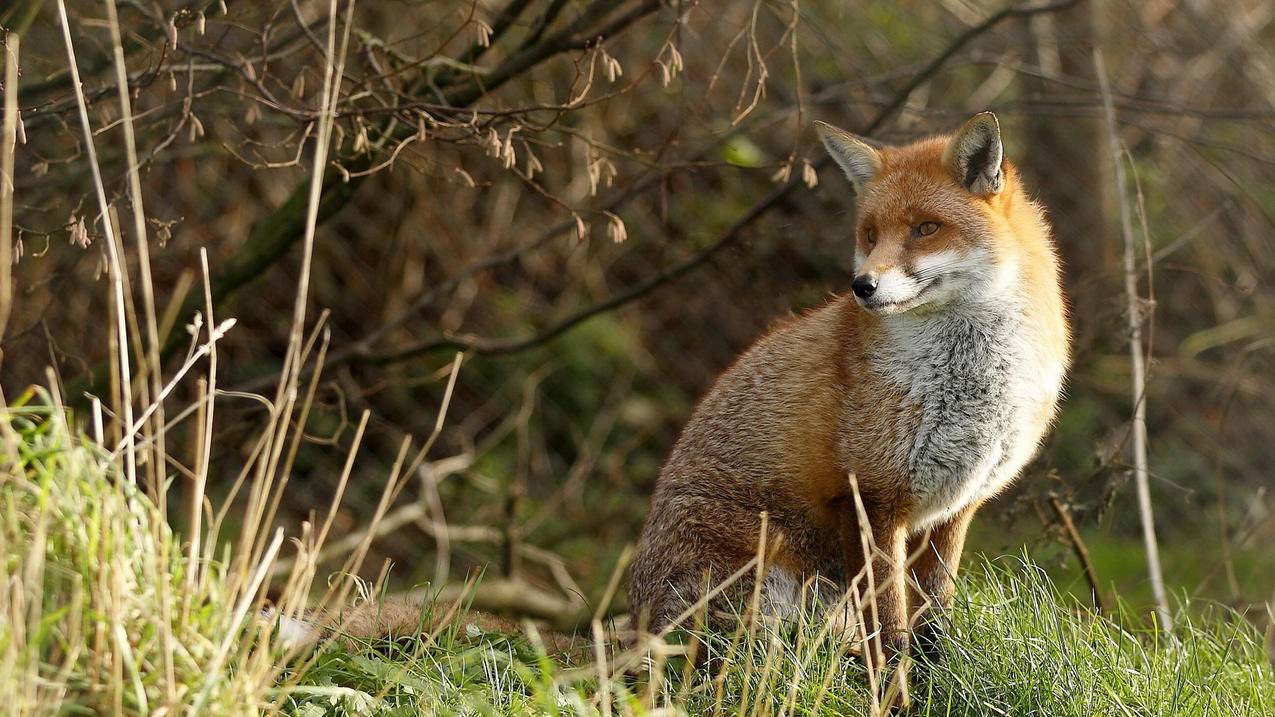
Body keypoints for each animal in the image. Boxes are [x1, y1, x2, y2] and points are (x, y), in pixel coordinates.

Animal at [622, 111, 1071, 678]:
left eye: (926, 228)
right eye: (871, 235)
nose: (863, 286)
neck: (968, 381)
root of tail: (631, 631)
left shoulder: (956, 507)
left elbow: (933, 619)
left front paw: (934, 681)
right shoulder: (870, 500)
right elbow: (892, 632)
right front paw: (897, 690)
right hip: (764, 585)